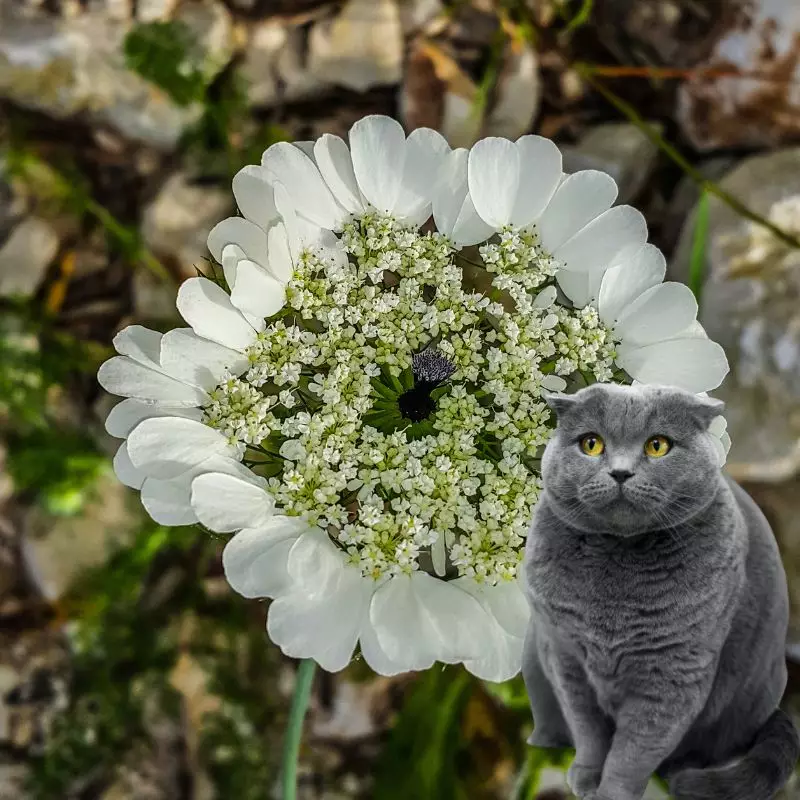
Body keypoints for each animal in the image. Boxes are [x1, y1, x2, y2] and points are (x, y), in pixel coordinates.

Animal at [520, 382, 796, 800]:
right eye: (591, 444)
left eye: (657, 446)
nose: (620, 471)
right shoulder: (565, 657)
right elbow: (588, 730)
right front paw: (585, 776)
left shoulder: (673, 671)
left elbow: (633, 750)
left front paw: (610, 793)